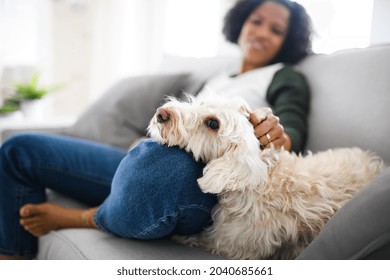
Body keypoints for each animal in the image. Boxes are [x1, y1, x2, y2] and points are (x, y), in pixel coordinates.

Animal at [148, 94, 386, 260]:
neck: (262, 181)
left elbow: (199, 239)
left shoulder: (230, 244)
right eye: (201, 102)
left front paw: (179, 237)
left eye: (213, 124)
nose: (161, 113)